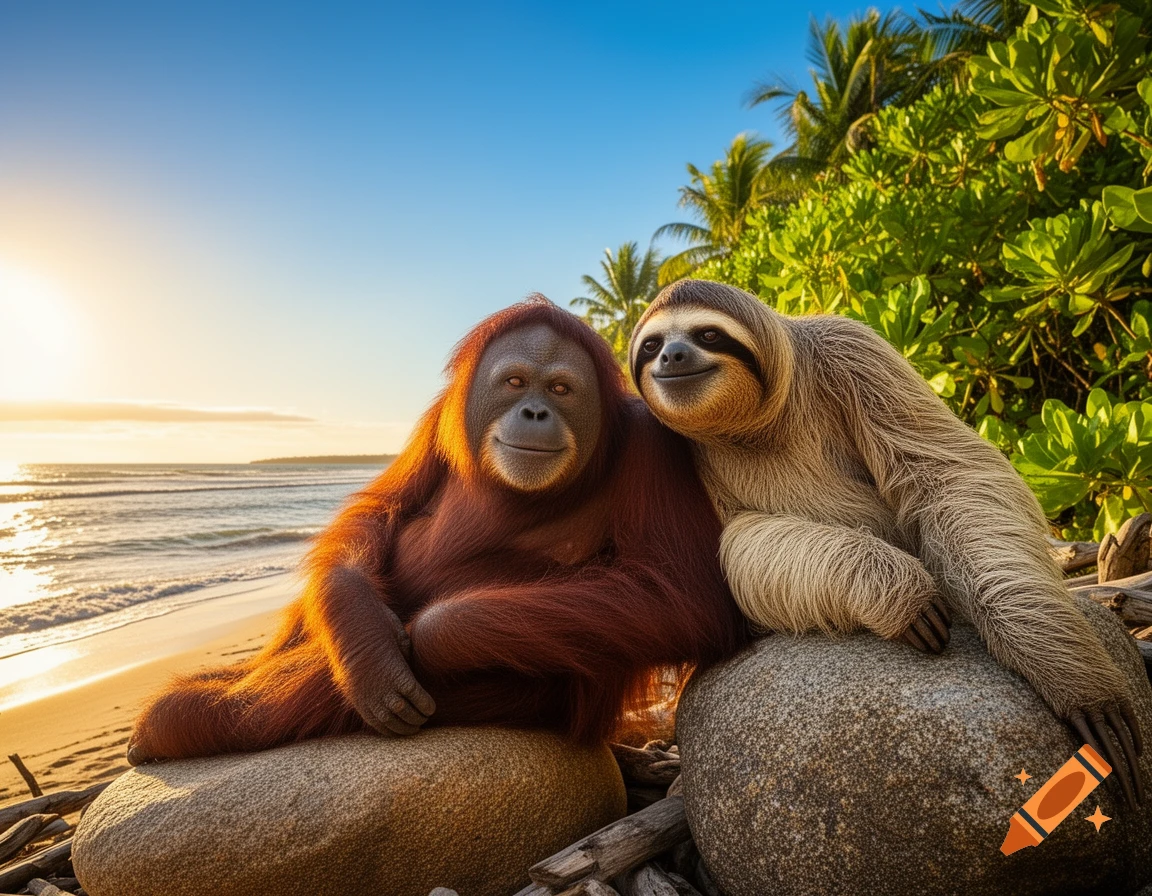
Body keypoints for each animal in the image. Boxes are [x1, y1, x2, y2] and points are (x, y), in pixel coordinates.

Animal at [126, 296, 746, 763]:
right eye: (516, 382)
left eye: (560, 389)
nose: (536, 412)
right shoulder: (435, 419)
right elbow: (381, 508)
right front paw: (367, 646)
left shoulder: (652, 441)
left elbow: (677, 595)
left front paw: (433, 635)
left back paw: (173, 722)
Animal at [629, 278, 1144, 807]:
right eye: (652, 345)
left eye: (708, 334)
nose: (672, 354)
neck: (755, 427)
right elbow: (738, 554)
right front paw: (903, 597)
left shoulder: (852, 351)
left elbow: (951, 476)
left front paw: (1075, 679)